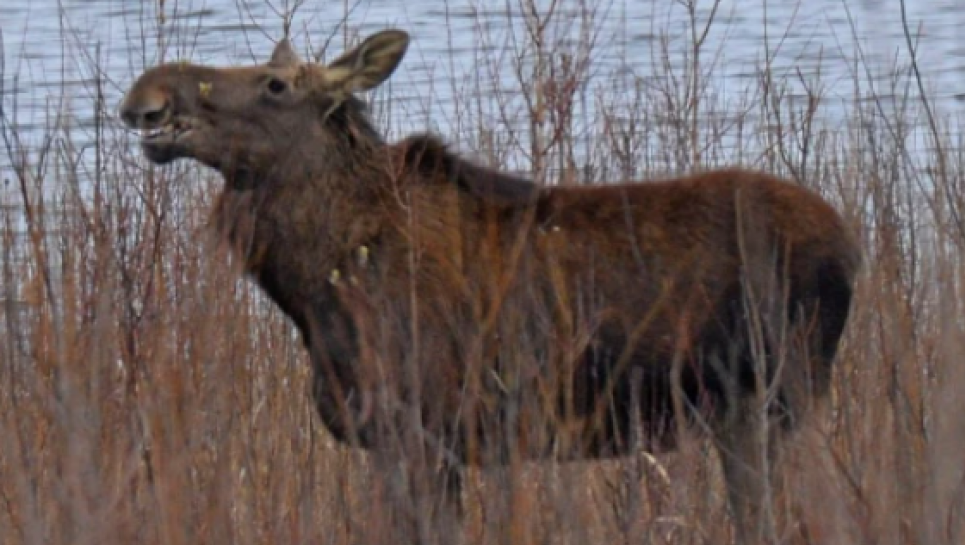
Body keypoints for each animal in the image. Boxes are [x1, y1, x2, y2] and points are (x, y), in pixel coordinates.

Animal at [118, 28, 860, 540]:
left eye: (276, 85)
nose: (147, 94)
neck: (315, 288)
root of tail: (853, 248)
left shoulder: (421, 434)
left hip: (771, 401)